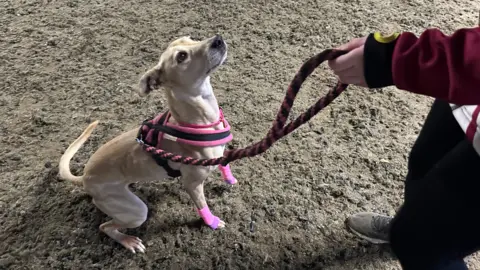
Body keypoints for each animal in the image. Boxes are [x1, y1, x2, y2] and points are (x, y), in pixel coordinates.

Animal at [59, 34, 235, 254]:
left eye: (190, 38)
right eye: (182, 56)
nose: (218, 39)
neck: (200, 120)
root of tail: (84, 177)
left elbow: (224, 163)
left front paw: (230, 180)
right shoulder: (192, 184)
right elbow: (202, 205)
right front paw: (211, 222)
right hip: (135, 211)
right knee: (105, 227)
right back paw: (128, 241)